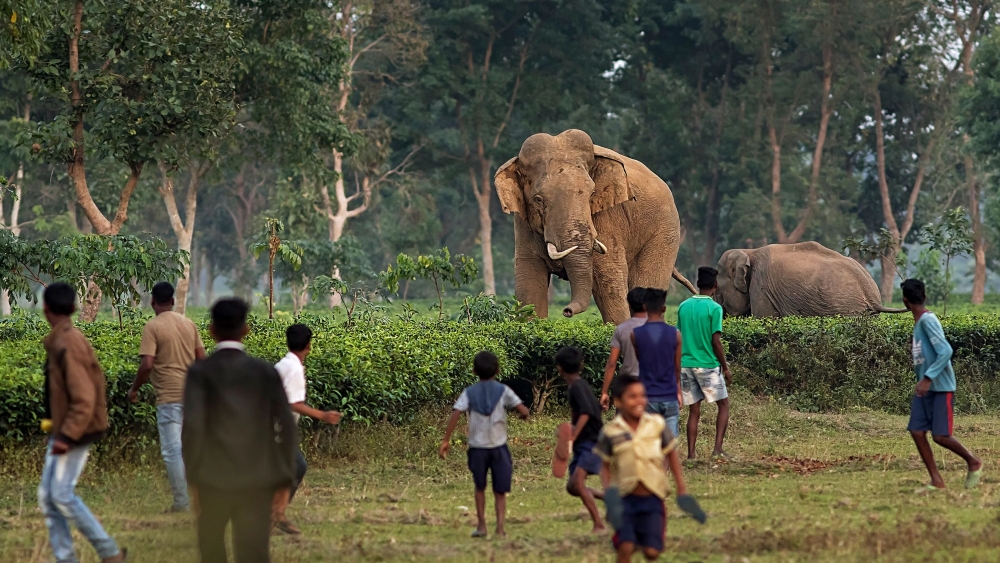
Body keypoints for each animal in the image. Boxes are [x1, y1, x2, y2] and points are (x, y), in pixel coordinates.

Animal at [494, 125, 696, 324]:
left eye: (592, 193)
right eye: (538, 199)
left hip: (664, 231)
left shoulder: (607, 218)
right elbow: (529, 287)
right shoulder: (523, 224)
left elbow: (608, 281)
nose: (566, 311)